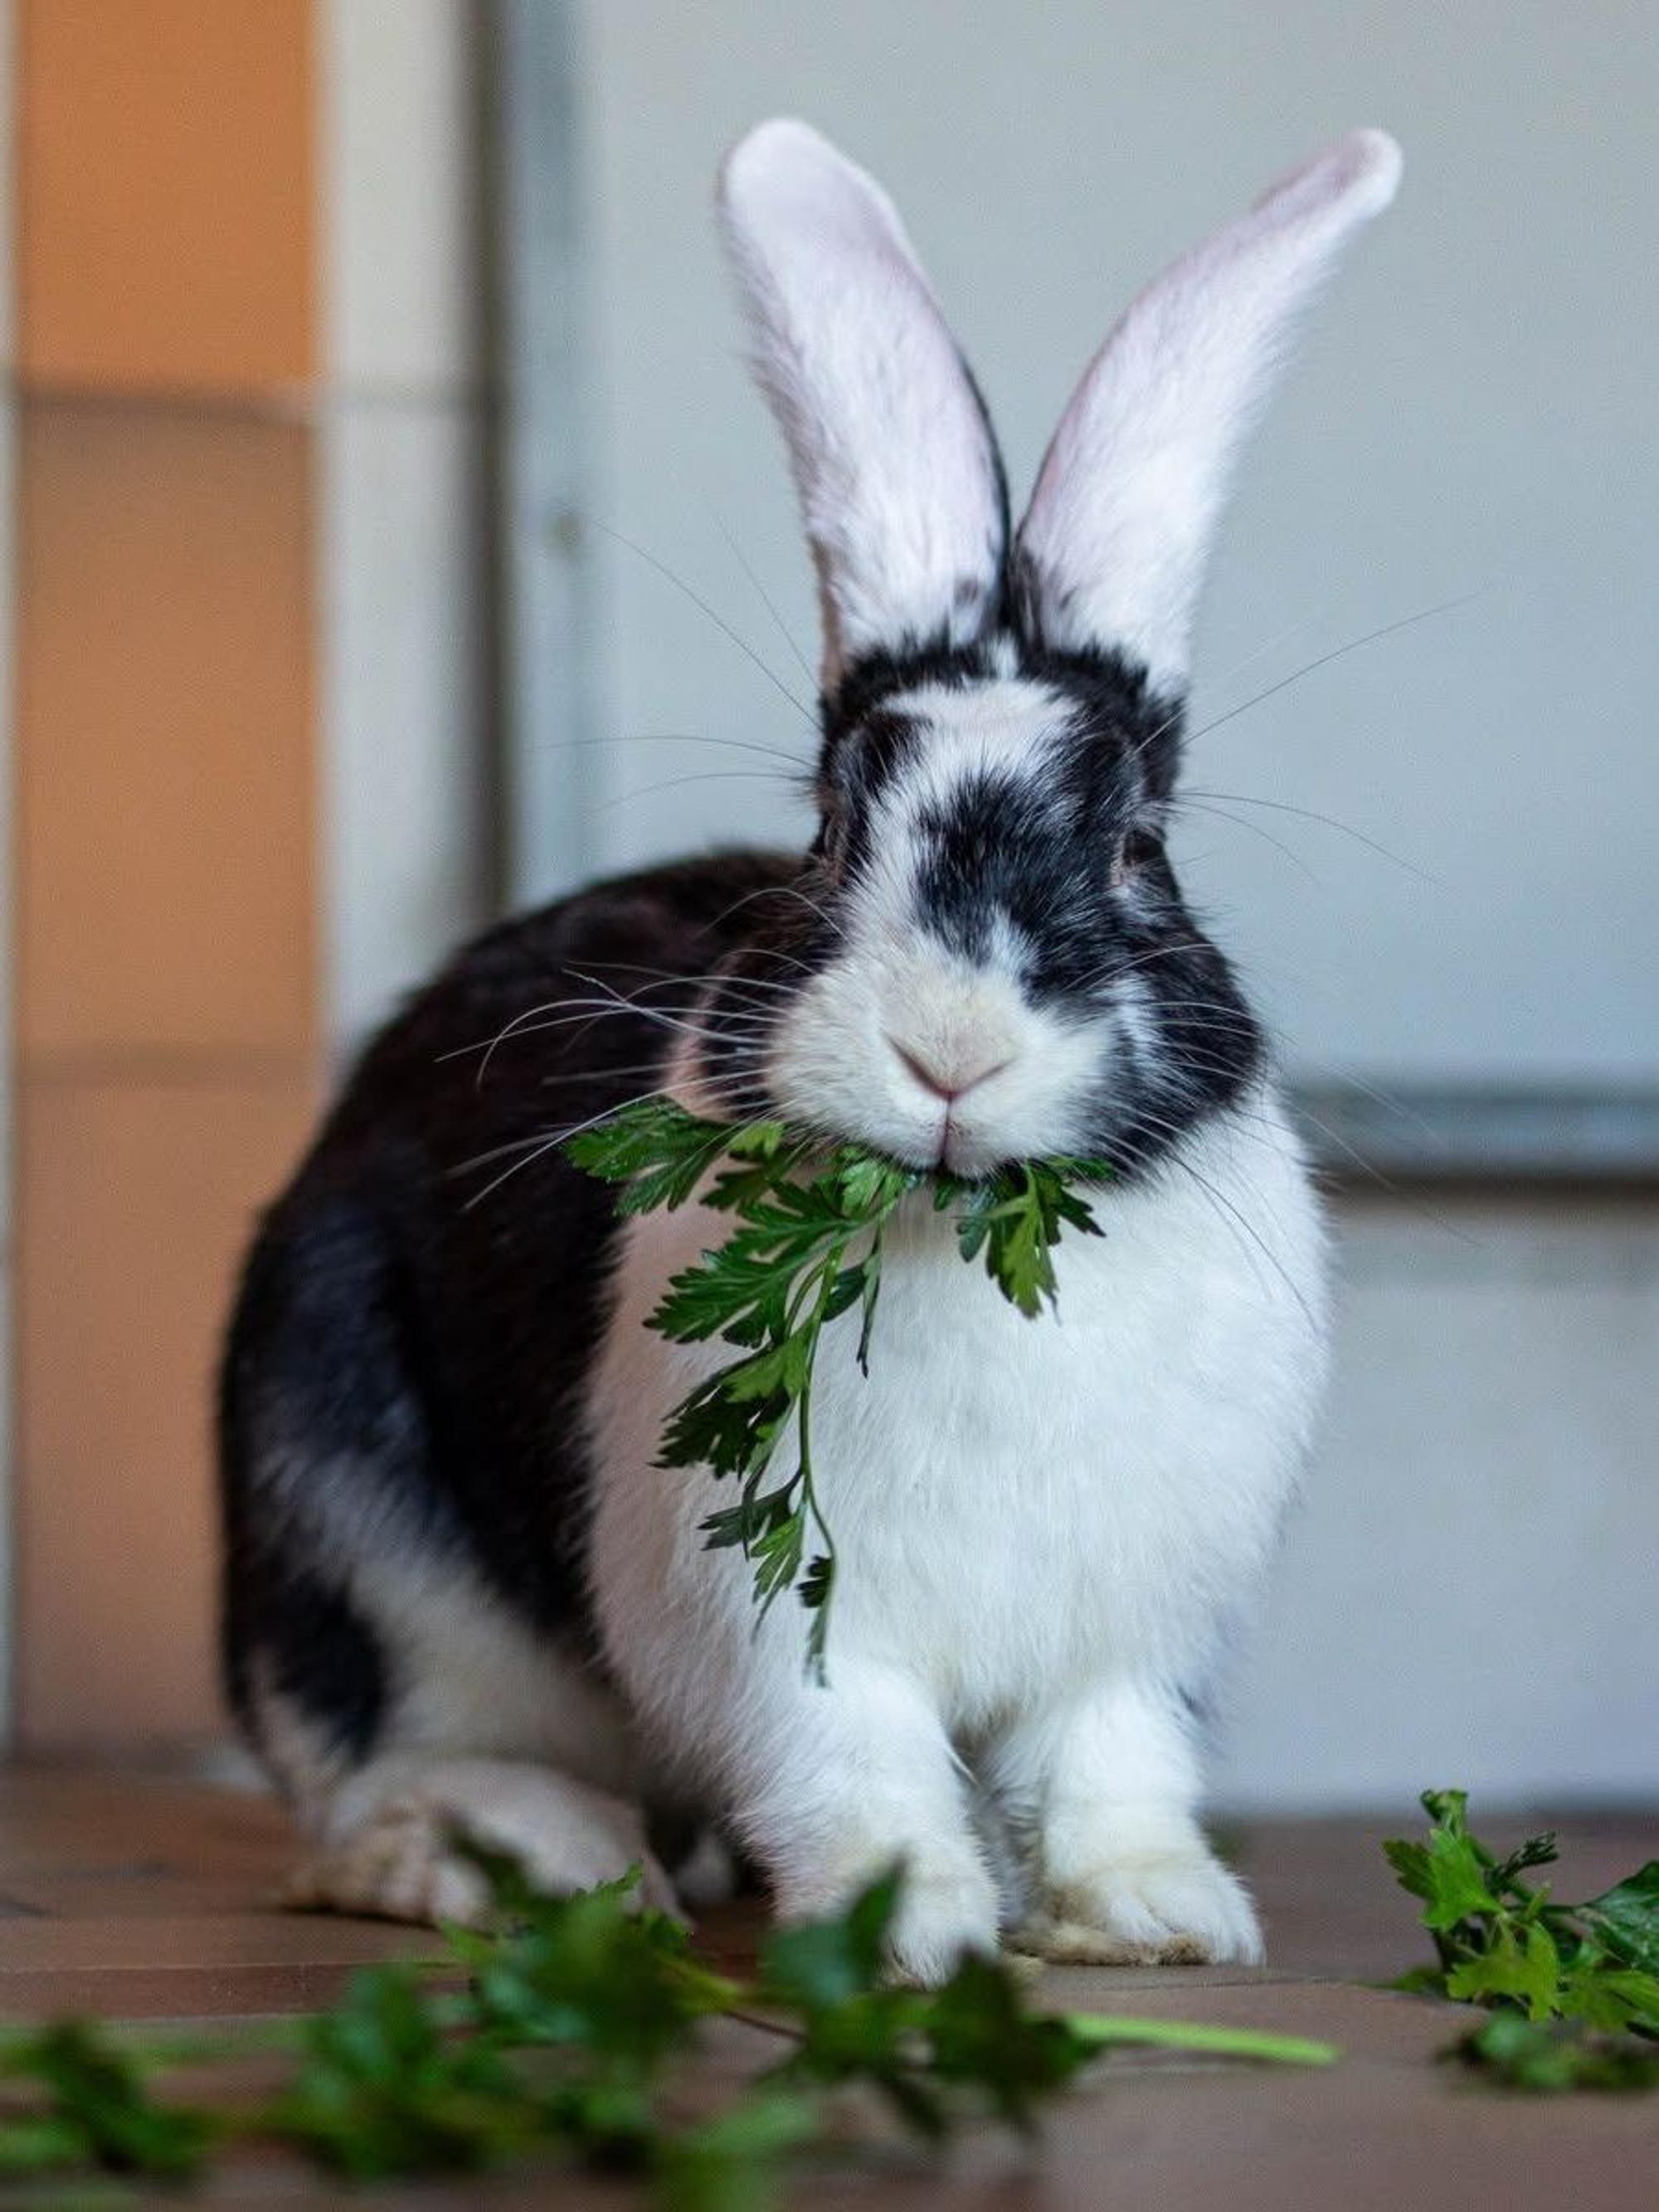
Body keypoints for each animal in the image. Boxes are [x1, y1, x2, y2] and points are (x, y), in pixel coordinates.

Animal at [219, 117, 1400, 1978]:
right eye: (835, 825)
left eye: (1137, 846)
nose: (949, 1050)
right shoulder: (775, 1627)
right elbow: (853, 1763)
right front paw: (905, 1933)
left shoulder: (1125, 1634)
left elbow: (1108, 1759)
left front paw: (1155, 1919)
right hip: (345, 1505)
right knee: (376, 1764)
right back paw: (531, 1856)